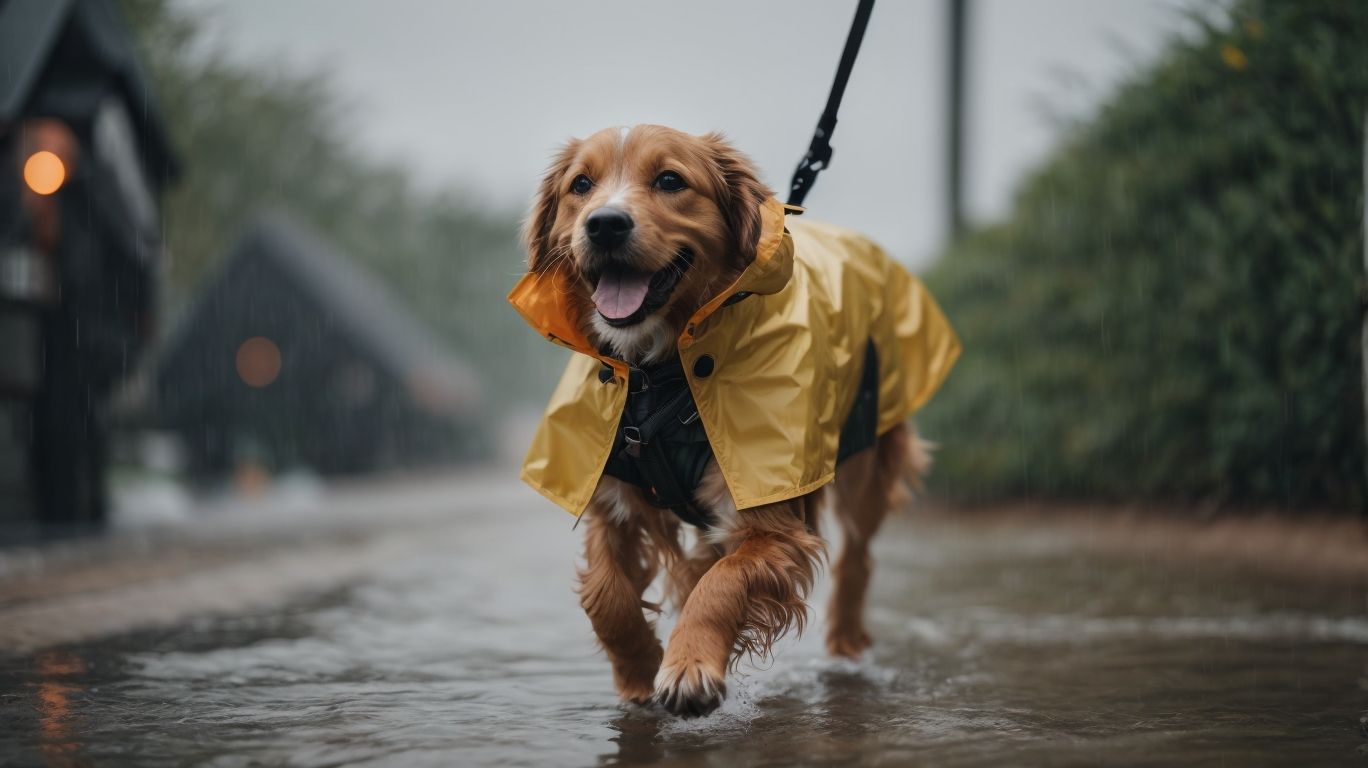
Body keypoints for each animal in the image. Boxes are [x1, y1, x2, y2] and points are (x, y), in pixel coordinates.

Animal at [508, 122, 957, 717]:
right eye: (581, 184)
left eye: (670, 180)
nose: (604, 223)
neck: (660, 378)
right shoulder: (611, 501)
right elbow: (607, 596)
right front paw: (638, 669)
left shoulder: (773, 519)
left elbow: (723, 581)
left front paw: (689, 665)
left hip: (866, 462)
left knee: (856, 561)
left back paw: (844, 647)